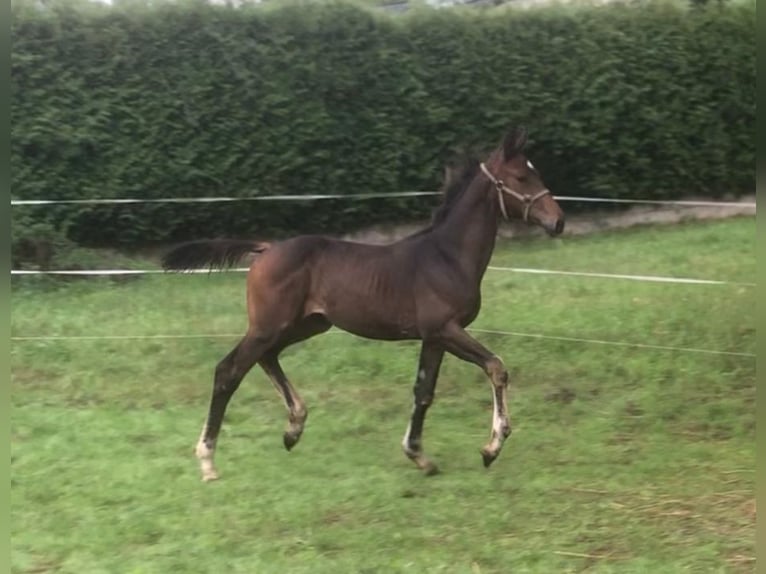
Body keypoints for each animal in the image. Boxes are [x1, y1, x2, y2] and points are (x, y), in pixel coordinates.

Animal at [162, 126, 565, 481]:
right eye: (520, 177)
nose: (558, 222)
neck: (447, 256)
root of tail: (265, 249)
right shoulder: (445, 329)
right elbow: (496, 367)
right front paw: (491, 448)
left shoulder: (434, 337)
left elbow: (423, 392)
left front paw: (419, 456)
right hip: (269, 325)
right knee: (228, 371)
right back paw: (208, 461)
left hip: (305, 324)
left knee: (266, 357)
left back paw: (293, 428)